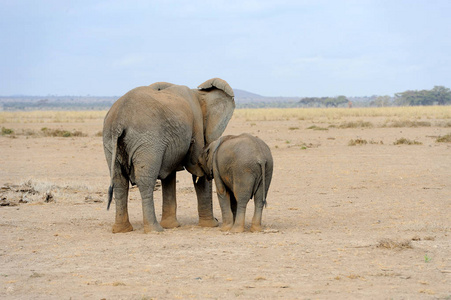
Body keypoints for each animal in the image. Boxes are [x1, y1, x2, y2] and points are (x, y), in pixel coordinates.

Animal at [103, 78, 237, 233]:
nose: (217, 220)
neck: (197, 93)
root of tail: (119, 120)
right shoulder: (196, 124)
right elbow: (197, 169)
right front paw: (210, 225)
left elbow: (169, 175)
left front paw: (171, 225)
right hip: (148, 141)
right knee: (145, 181)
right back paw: (154, 229)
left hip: (110, 141)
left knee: (119, 181)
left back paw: (122, 229)